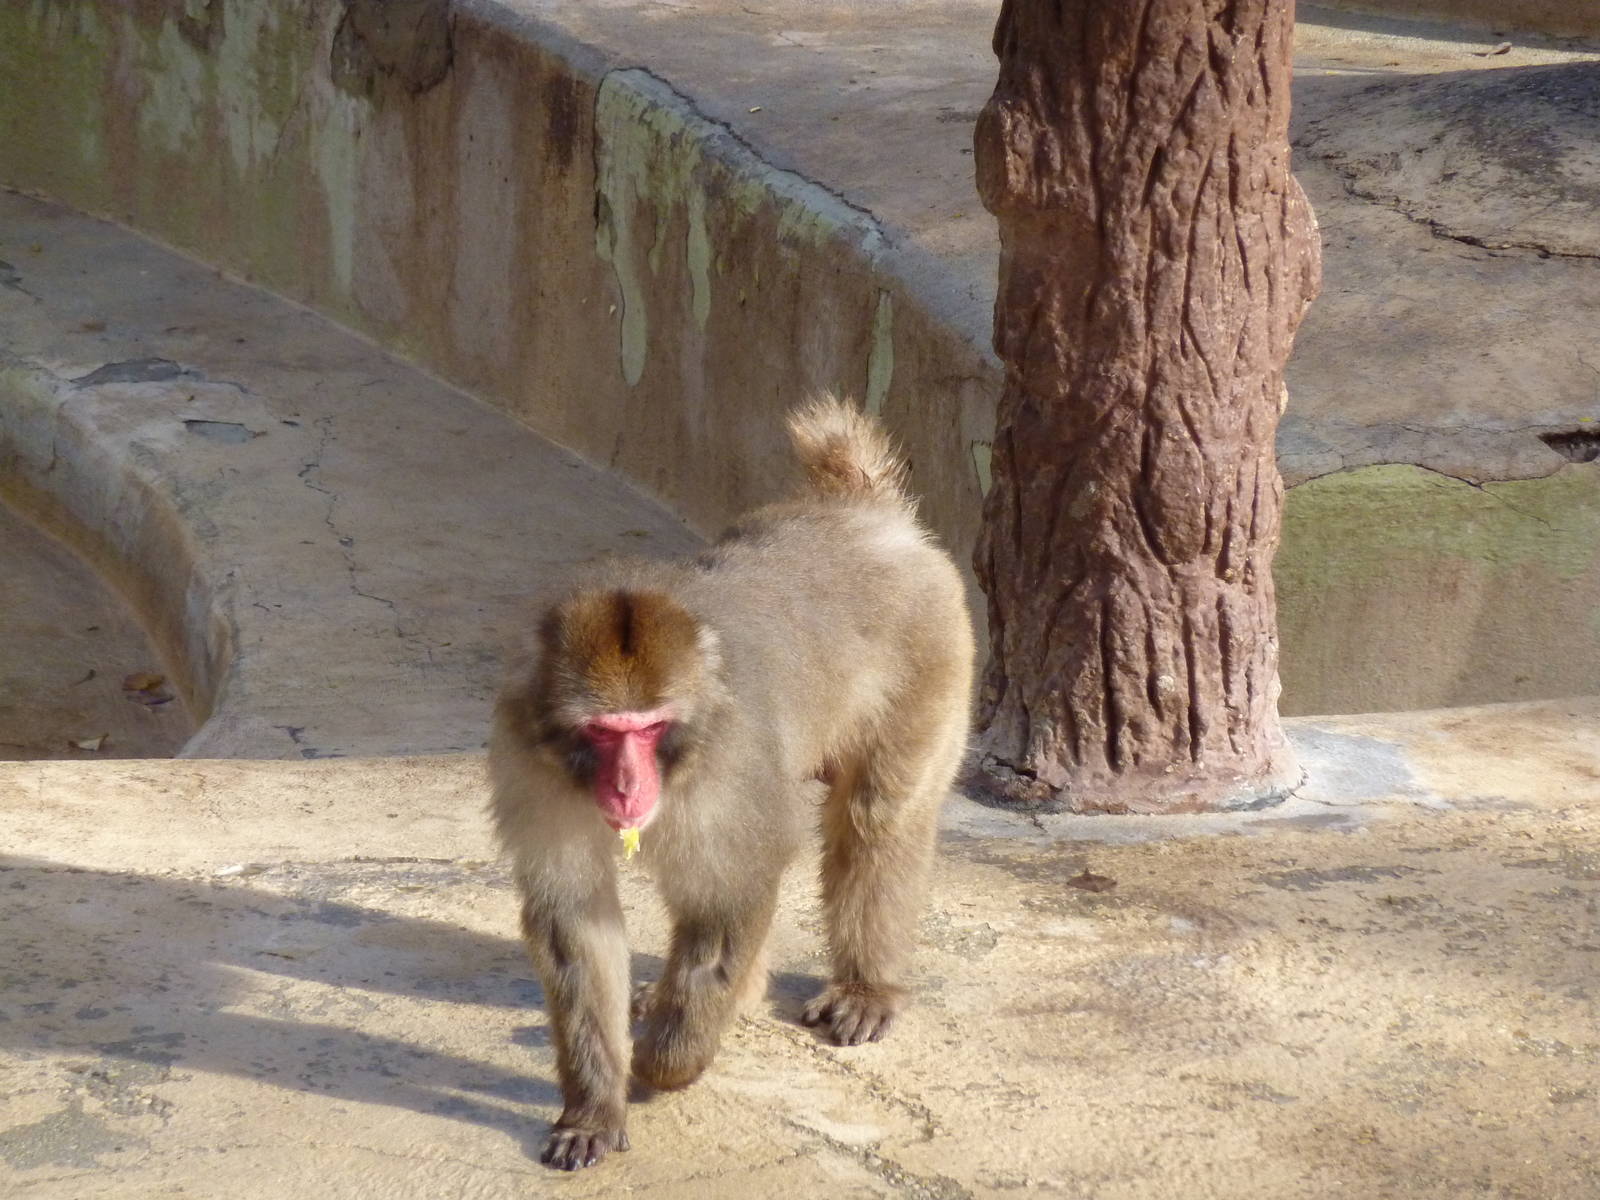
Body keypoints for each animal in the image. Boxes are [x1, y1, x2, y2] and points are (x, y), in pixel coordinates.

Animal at [489, 395, 974, 1171]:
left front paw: (665, 1064)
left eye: (650, 728)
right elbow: (576, 921)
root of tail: (860, 512)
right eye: (603, 731)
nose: (626, 788)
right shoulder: (528, 761)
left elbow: (731, 890)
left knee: (877, 815)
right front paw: (594, 1107)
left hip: (932, 657)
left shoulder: (728, 768)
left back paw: (864, 985)